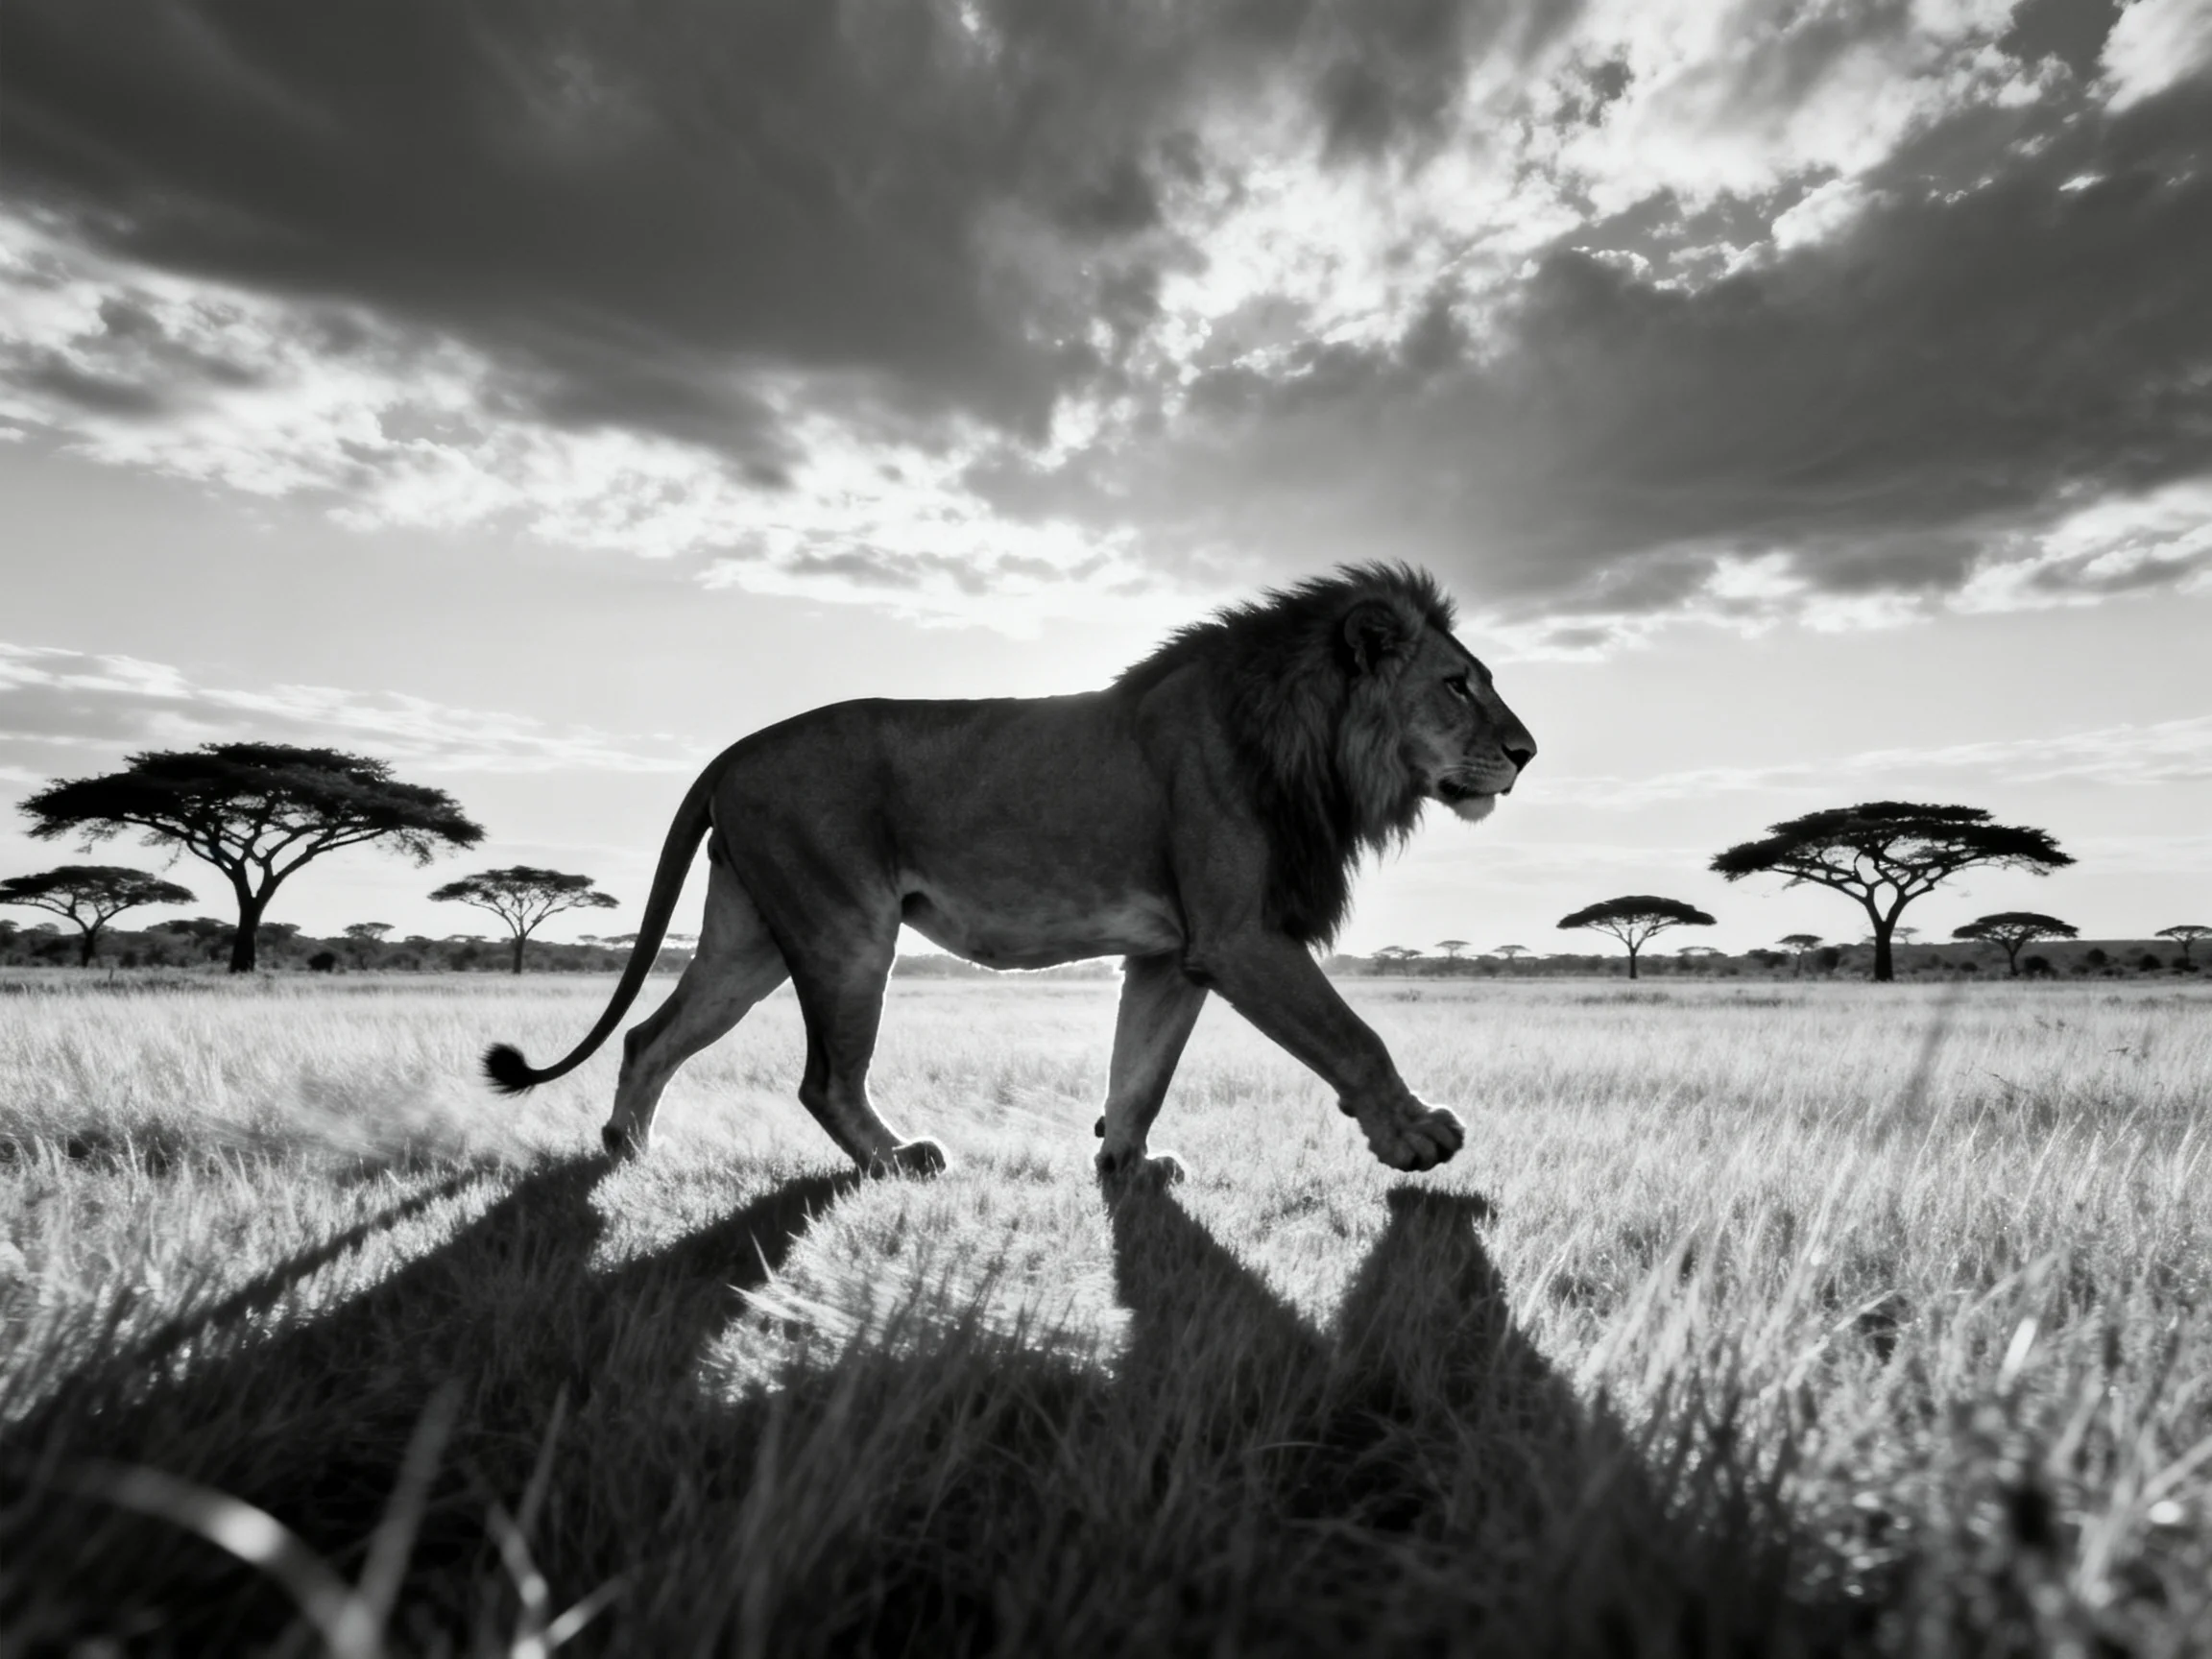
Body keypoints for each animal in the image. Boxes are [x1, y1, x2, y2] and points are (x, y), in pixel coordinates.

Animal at [485, 563, 1535, 1183]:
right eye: (1458, 684)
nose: (1528, 754)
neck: (1313, 744)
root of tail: (733, 752)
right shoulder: (1241, 937)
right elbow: (1354, 1038)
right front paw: (1417, 1136)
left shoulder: (1173, 953)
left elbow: (1140, 1070)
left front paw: (1126, 1164)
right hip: (845, 932)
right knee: (824, 1080)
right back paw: (898, 1159)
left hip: (752, 940)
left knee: (652, 1037)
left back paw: (628, 1154)